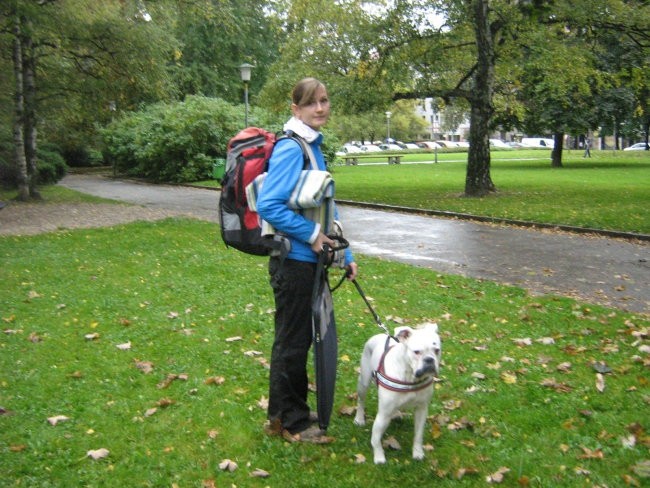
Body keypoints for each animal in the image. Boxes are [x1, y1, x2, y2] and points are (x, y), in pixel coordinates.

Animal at [354, 322, 440, 464]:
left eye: (437, 350)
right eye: (416, 352)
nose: (429, 360)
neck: (410, 376)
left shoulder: (421, 409)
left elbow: (418, 434)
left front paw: (417, 453)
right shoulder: (383, 414)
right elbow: (376, 437)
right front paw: (379, 457)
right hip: (363, 383)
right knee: (361, 401)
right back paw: (359, 419)